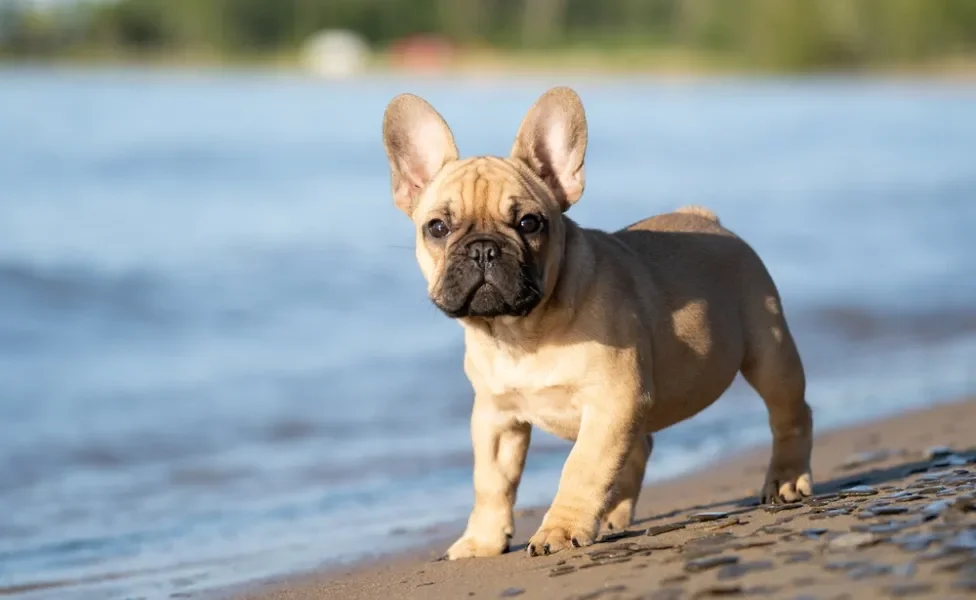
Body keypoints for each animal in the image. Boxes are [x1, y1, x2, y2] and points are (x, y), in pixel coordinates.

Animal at [384, 86, 816, 560]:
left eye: (529, 223)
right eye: (437, 228)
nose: (483, 248)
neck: (521, 332)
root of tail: (708, 219)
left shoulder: (612, 402)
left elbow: (582, 469)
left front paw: (559, 529)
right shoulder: (496, 417)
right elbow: (491, 483)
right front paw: (482, 540)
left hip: (768, 351)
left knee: (790, 412)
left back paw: (787, 480)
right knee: (639, 447)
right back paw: (613, 513)